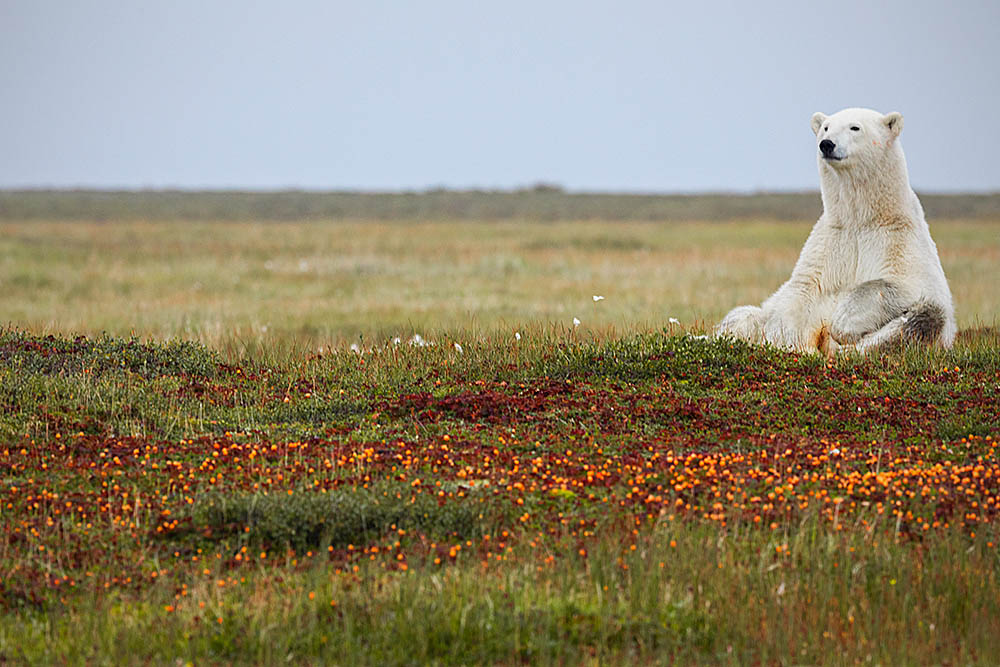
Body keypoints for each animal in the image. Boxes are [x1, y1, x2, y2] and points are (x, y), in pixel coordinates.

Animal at [716, 107, 956, 354]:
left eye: (855, 127)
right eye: (826, 127)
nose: (826, 144)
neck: (860, 219)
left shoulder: (898, 238)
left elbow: (904, 285)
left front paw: (842, 325)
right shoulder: (830, 243)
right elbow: (801, 293)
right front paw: (790, 342)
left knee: (921, 320)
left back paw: (845, 351)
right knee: (742, 316)